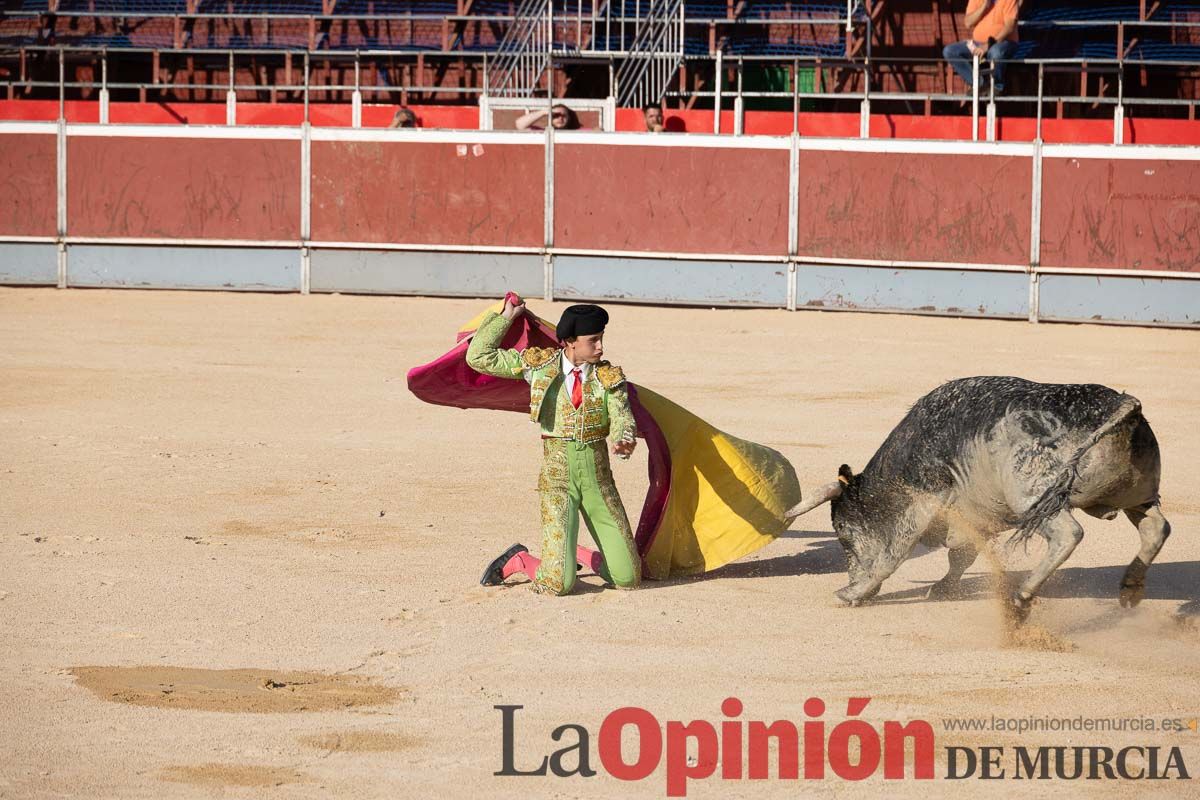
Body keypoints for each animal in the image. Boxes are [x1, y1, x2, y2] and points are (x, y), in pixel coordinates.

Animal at [787, 379, 1171, 623]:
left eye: (842, 531)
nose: (852, 577)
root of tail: (1121, 406)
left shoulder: (921, 503)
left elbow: (893, 555)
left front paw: (853, 593)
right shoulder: (974, 517)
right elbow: (961, 556)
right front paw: (943, 588)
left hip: (1032, 496)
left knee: (1069, 534)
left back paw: (1022, 598)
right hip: (1139, 495)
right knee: (1157, 528)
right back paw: (1131, 588)